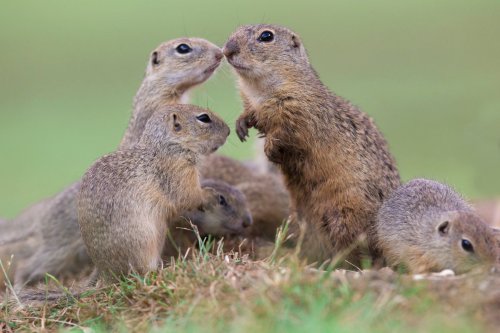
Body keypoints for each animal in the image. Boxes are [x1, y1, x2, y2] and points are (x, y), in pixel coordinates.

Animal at [78, 104, 230, 280]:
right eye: (204, 118)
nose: (229, 131)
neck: (167, 146)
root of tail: (106, 273)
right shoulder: (179, 172)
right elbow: (188, 196)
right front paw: (210, 195)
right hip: (144, 243)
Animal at [225, 24, 400, 264]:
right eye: (236, 30)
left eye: (266, 36)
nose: (226, 50)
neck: (260, 90)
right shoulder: (254, 104)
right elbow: (253, 116)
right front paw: (241, 125)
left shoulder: (297, 109)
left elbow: (286, 133)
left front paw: (270, 149)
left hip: (344, 212)